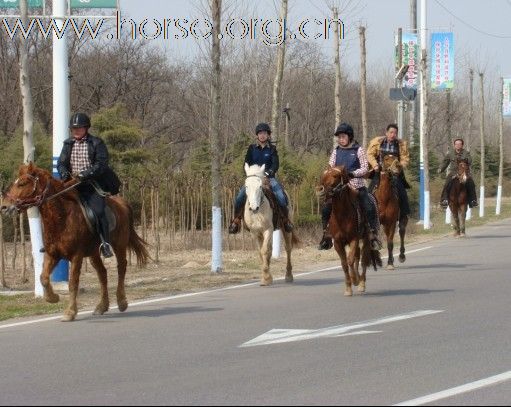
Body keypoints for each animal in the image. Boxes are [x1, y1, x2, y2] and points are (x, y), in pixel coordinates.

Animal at [1, 163, 150, 322]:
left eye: (22, 183)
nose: (4, 207)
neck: (62, 217)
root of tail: (122, 203)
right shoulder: (52, 254)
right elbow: (43, 278)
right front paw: (53, 298)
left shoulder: (76, 256)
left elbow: (73, 283)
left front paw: (70, 312)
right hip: (93, 253)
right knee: (102, 273)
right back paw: (102, 306)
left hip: (119, 245)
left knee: (121, 267)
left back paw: (121, 302)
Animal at [318, 166, 382, 296]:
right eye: (324, 175)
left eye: (335, 176)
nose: (320, 189)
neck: (341, 215)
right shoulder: (338, 242)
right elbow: (344, 263)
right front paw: (348, 288)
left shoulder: (354, 239)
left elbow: (350, 260)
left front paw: (355, 280)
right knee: (358, 257)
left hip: (366, 239)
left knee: (363, 260)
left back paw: (361, 283)